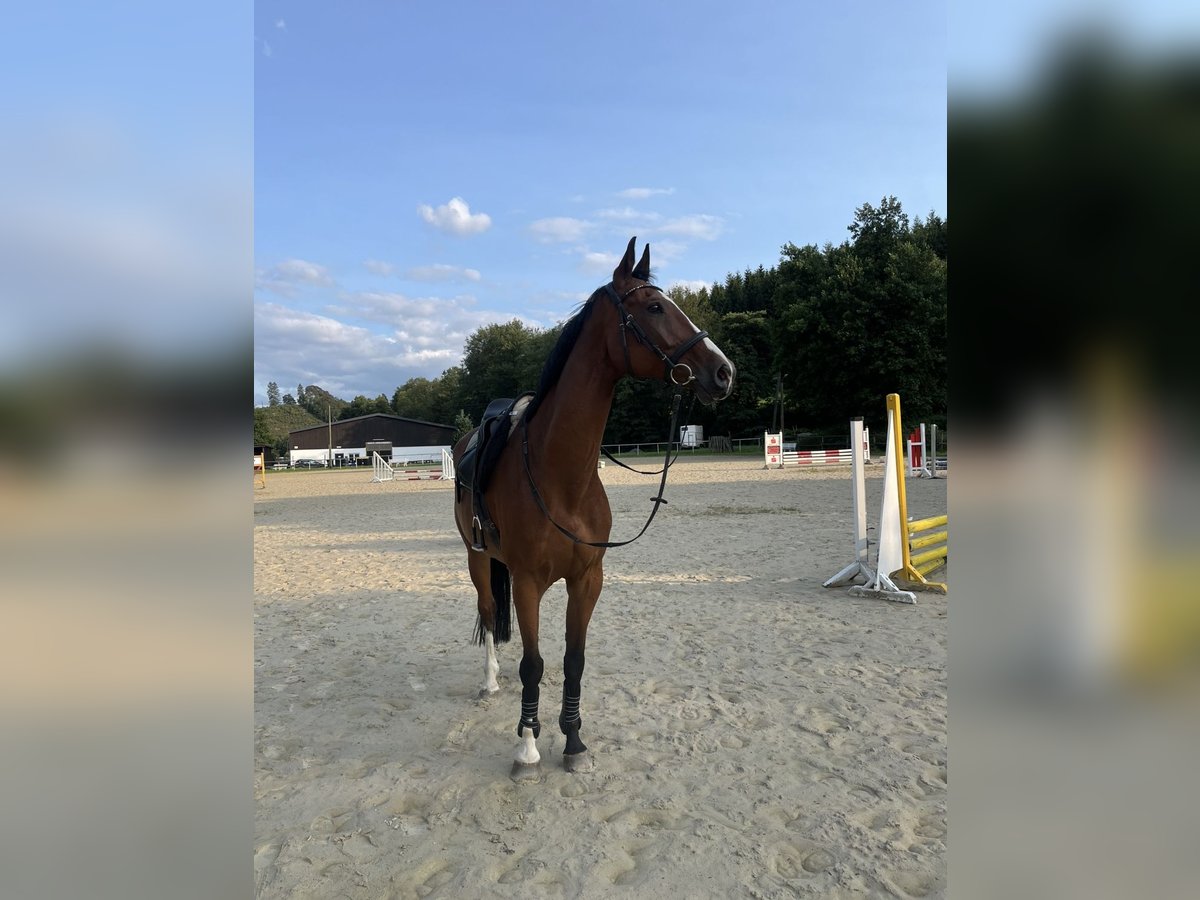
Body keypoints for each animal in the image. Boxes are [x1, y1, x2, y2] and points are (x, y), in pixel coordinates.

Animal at [452, 237, 735, 772]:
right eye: (654, 307)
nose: (724, 371)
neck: (561, 477)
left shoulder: (587, 580)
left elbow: (572, 660)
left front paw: (573, 740)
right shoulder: (529, 582)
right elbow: (534, 663)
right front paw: (527, 744)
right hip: (478, 558)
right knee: (488, 612)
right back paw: (489, 681)